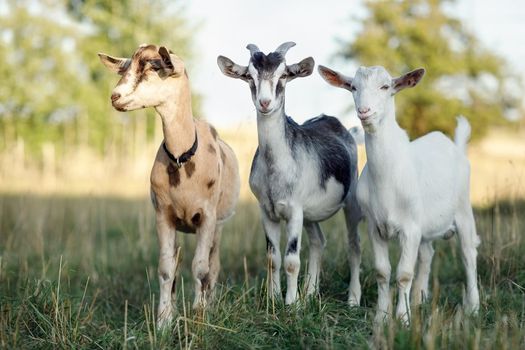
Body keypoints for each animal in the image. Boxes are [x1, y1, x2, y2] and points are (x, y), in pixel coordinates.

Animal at [217, 41, 360, 306]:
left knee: (354, 247)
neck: (277, 169)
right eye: (249, 76)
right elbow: (273, 257)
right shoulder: (267, 211)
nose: (264, 103)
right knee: (318, 241)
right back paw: (311, 293)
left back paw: (352, 299)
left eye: (284, 74)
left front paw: (291, 304)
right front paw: (274, 299)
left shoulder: (294, 211)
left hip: (350, 203)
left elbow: (292, 260)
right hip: (311, 215)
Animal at [318, 65, 482, 322]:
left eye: (386, 87)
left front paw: (403, 319)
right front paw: (382, 316)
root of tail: (455, 146)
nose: (364, 111)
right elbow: (383, 271)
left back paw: (473, 308)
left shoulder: (410, 228)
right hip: (426, 225)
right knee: (427, 254)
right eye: (353, 87)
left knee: (468, 254)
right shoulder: (375, 226)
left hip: (464, 210)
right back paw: (418, 299)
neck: (387, 179)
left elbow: (404, 273)